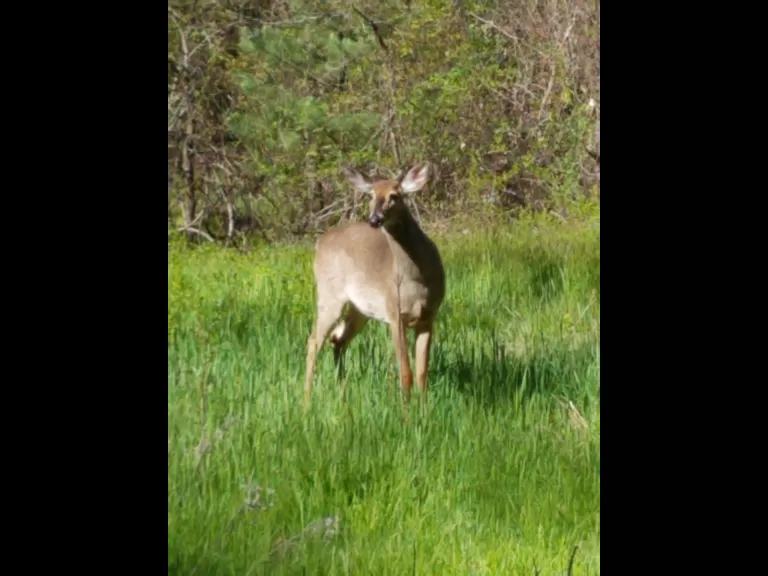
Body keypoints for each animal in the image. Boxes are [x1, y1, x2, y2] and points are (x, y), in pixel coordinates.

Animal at [304, 161, 446, 407]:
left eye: (394, 196)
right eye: (371, 195)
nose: (374, 219)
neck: (417, 280)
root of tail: (319, 242)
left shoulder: (429, 315)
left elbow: (421, 372)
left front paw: (425, 408)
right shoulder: (395, 313)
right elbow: (405, 372)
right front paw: (406, 410)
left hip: (360, 309)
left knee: (338, 339)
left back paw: (343, 395)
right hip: (329, 295)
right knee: (314, 341)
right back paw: (305, 401)